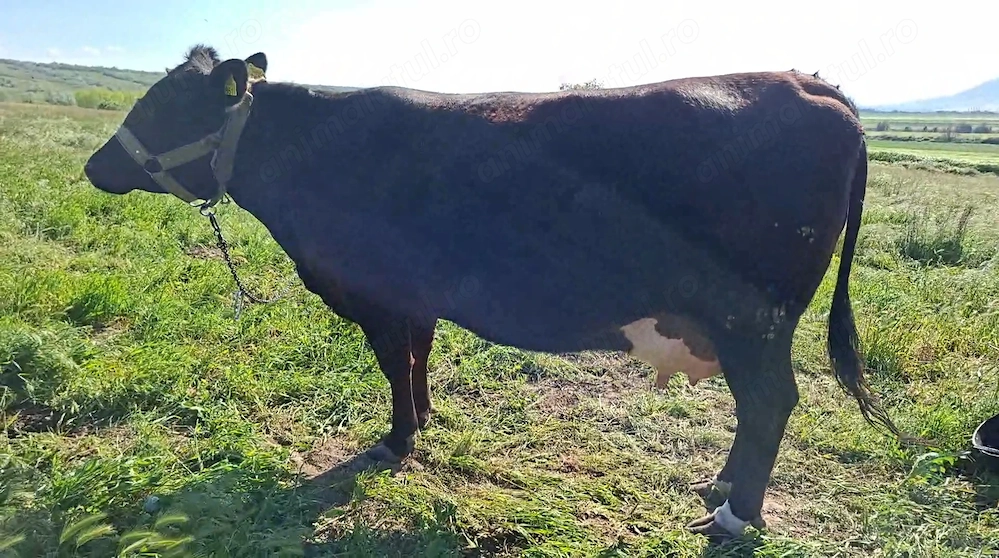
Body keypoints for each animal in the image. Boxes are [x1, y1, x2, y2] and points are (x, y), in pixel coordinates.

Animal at [83, 44, 903, 542]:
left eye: (163, 106)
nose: (94, 165)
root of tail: (806, 82)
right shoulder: (413, 298)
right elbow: (417, 360)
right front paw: (423, 419)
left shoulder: (377, 296)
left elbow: (393, 366)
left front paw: (396, 441)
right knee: (757, 408)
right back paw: (723, 484)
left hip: (751, 319)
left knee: (769, 403)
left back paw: (735, 514)